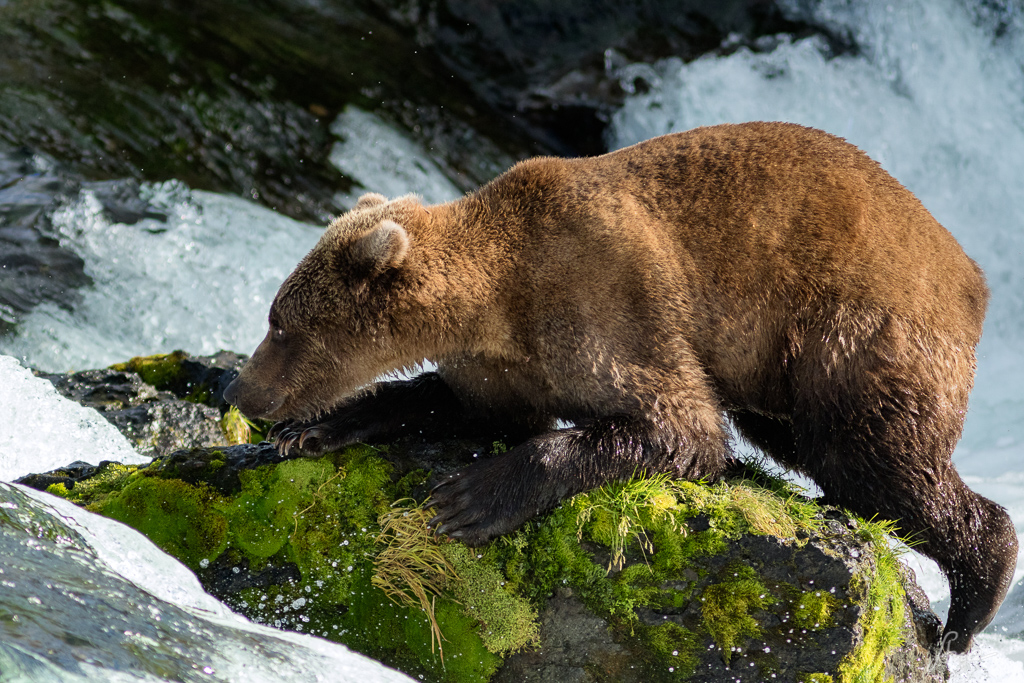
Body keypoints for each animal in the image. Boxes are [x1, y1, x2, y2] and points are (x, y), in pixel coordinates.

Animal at [223, 121, 1016, 653]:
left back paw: (971, 602)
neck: (496, 303)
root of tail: (973, 278)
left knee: (873, 460)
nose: (242, 392)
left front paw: (470, 497)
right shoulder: (504, 366)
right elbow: (455, 405)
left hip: (858, 331)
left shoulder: (607, 304)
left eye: (280, 322)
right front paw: (319, 428)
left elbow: (678, 427)